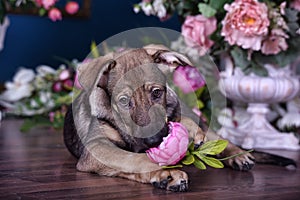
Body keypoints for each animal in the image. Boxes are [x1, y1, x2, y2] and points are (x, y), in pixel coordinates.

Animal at [63, 44, 255, 191]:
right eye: (123, 101)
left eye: (156, 92)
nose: (154, 140)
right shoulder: (97, 147)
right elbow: (133, 159)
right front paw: (167, 173)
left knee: (215, 136)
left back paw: (238, 154)